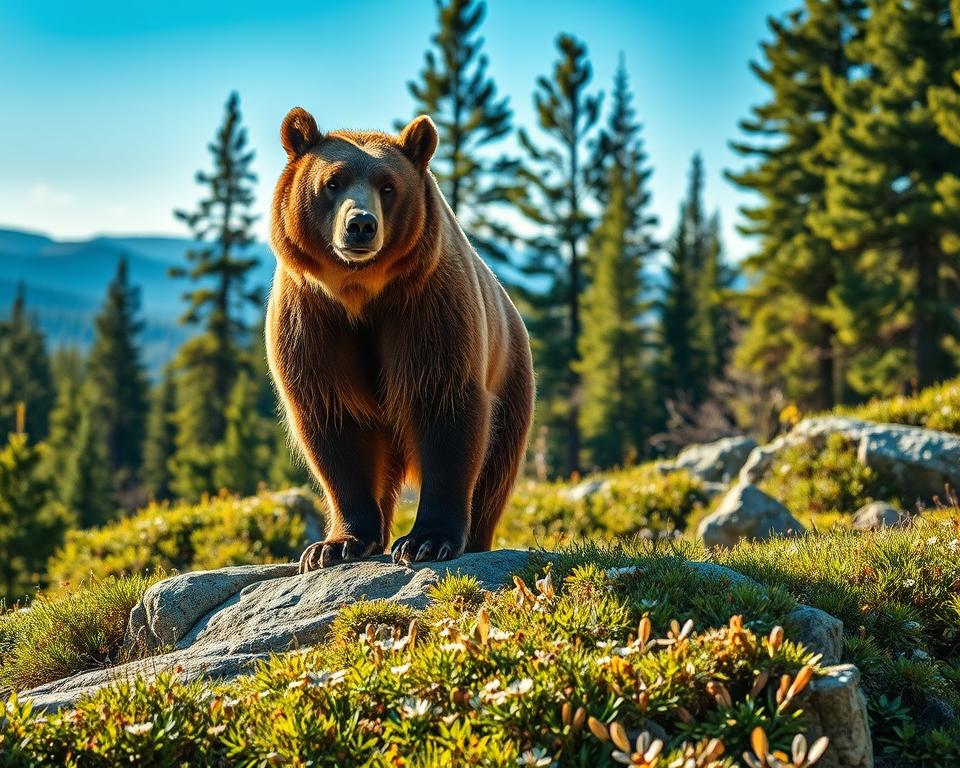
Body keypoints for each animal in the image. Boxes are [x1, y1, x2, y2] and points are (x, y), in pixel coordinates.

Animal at [265, 107, 535, 572]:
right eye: (333, 182)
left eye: (388, 185)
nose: (360, 225)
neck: (361, 294)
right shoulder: (313, 320)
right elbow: (334, 423)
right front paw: (335, 544)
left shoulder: (425, 309)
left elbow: (447, 407)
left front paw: (426, 540)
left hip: (511, 379)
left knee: (494, 474)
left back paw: (477, 537)